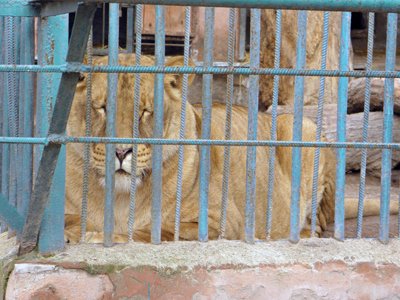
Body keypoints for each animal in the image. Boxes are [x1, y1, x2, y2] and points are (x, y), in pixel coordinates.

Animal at [64, 52, 336, 243]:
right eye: (102, 108)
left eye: (145, 112)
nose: (120, 152)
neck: (120, 197)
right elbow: (71, 220)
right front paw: (76, 233)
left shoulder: (221, 223)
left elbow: (158, 230)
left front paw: (102, 236)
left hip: (301, 127)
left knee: (318, 227)